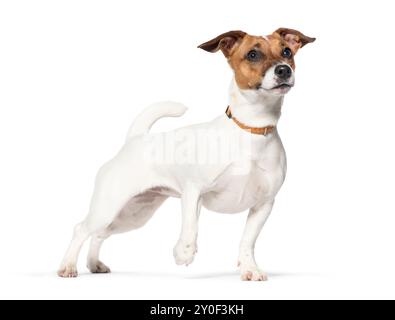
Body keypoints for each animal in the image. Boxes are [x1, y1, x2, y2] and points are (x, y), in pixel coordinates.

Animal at [58, 28, 316, 282]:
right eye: (253, 54)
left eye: (287, 51)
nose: (284, 70)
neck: (251, 130)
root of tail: (134, 139)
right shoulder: (193, 191)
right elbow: (191, 225)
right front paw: (184, 252)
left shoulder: (264, 204)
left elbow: (247, 240)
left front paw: (250, 268)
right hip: (109, 206)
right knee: (81, 229)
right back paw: (68, 266)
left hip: (131, 214)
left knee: (100, 234)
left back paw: (94, 264)